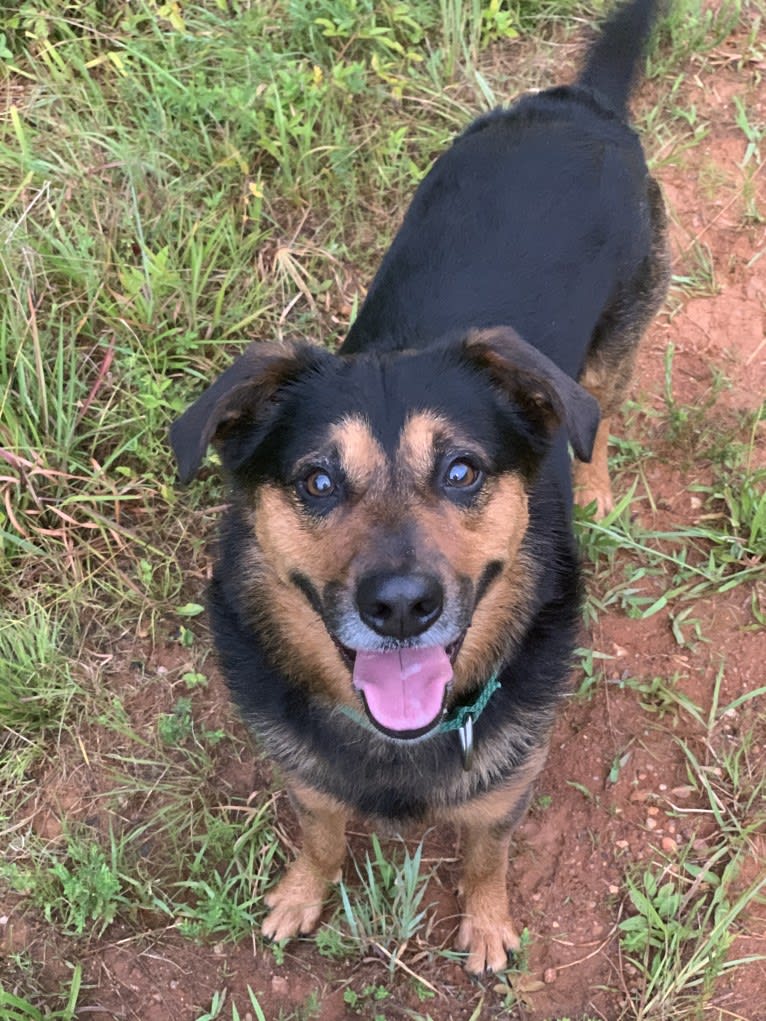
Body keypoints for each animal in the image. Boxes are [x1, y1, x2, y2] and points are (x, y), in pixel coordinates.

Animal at [169, 0, 669, 971]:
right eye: (318, 481)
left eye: (463, 470)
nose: (401, 606)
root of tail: (577, 101)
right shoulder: (306, 773)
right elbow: (321, 829)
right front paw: (302, 894)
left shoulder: (505, 781)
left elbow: (485, 850)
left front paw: (486, 924)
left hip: (618, 345)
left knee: (598, 413)